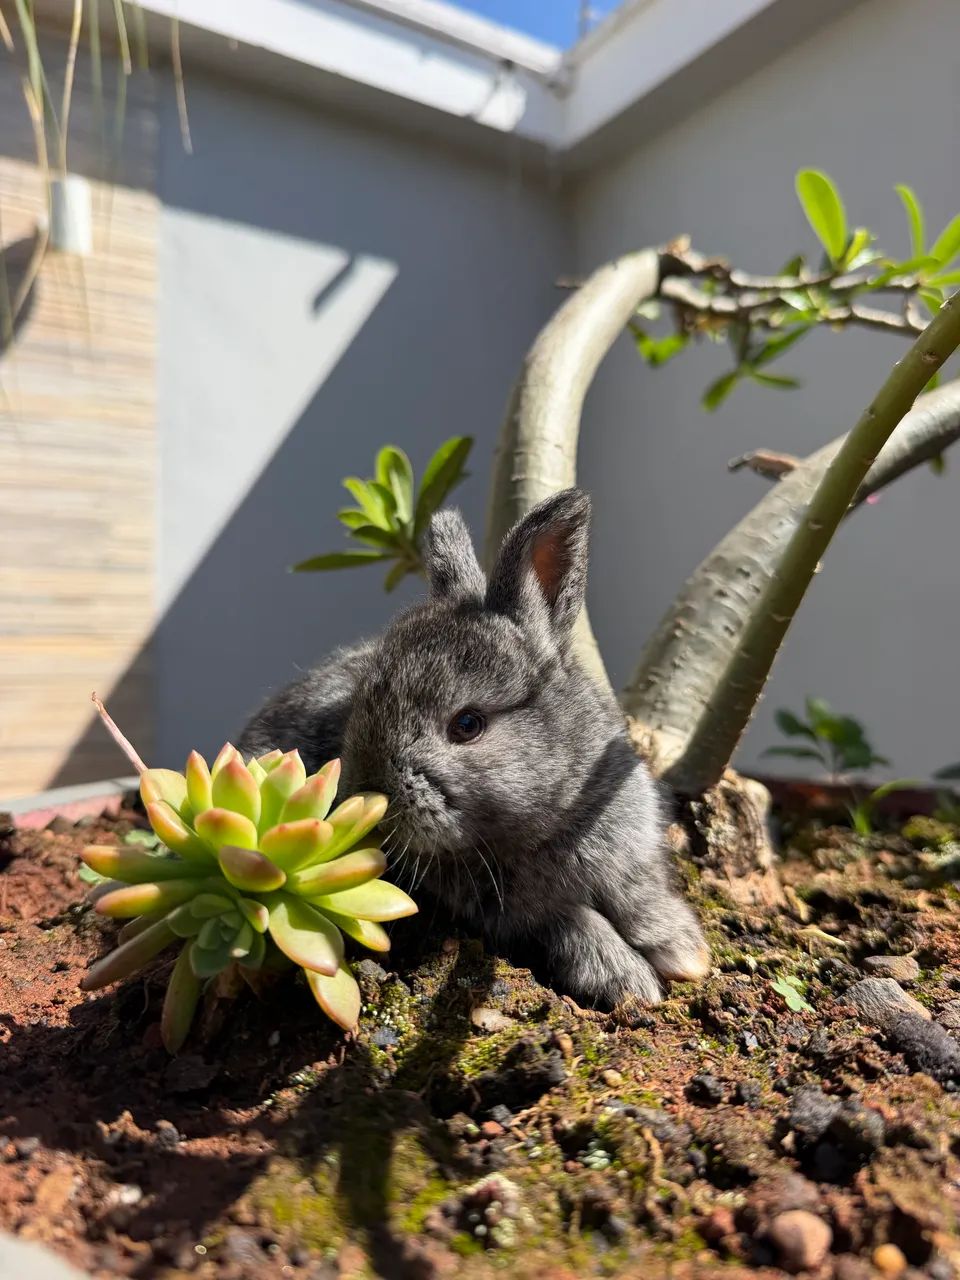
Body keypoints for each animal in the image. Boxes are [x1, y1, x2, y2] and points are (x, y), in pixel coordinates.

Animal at [238, 489, 709, 1007]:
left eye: (467, 725)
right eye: (362, 700)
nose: (366, 792)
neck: (547, 820)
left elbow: (637, 894)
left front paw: (684, 952)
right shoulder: (520, 910)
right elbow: (575, 919)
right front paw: (628, 980)